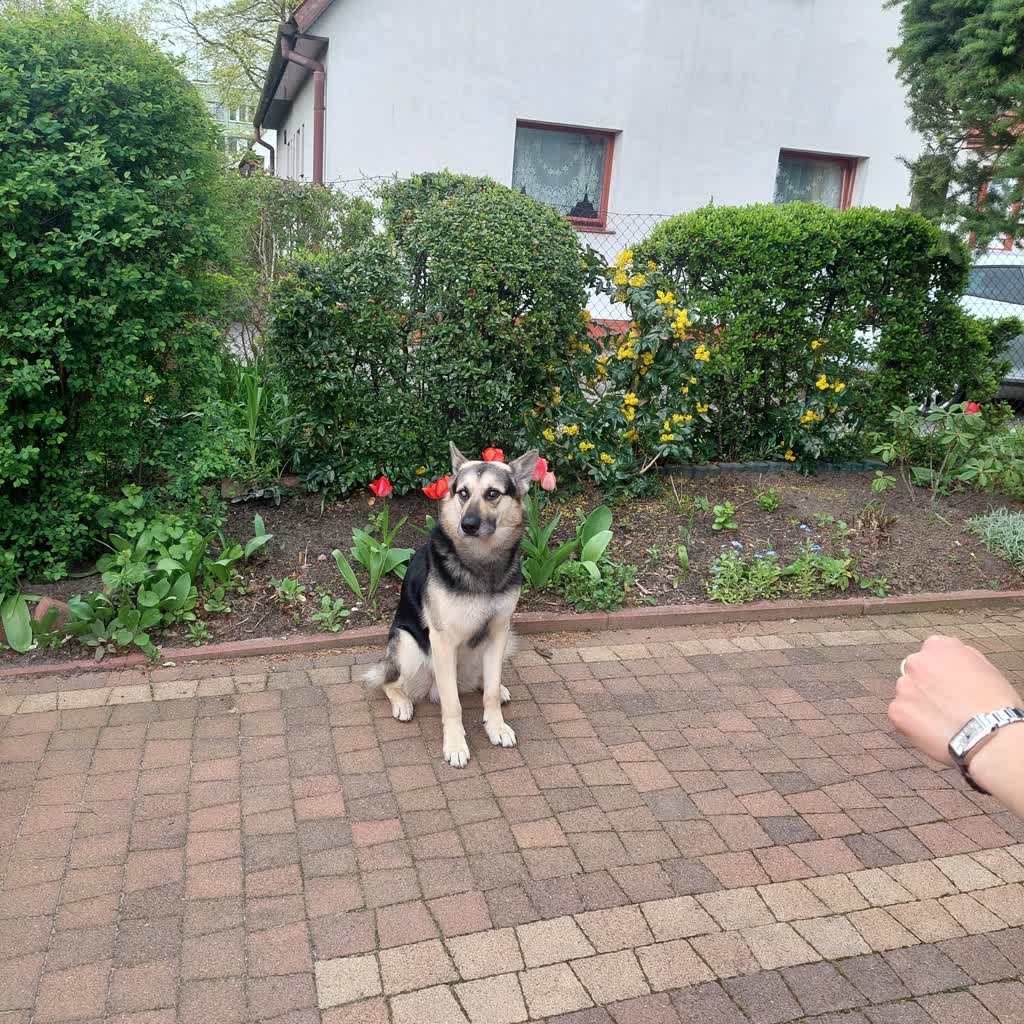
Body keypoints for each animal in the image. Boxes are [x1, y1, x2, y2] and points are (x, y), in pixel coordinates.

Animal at [361, 444, 539, 767]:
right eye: (463, 493)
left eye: (493, 494)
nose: (467, 525)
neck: (482, 564)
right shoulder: (442, 642)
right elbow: (452, 705)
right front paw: (455, 744)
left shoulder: (498, 631)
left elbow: (490, 692)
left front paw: (496, 726)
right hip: (410, 647)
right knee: (391, 682)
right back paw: (402, 703)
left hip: (506, 641)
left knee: (484, 681)